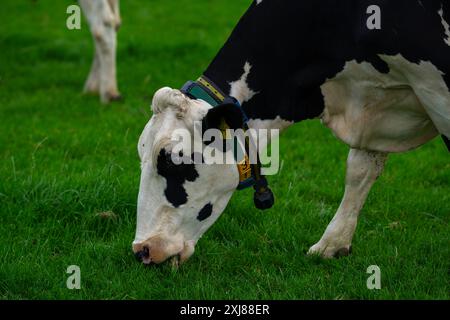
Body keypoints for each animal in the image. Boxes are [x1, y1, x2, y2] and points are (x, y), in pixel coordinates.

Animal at [134, 0, 450, 264]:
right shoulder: (372, 109)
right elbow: (360, 171)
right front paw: (333, 244)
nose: (142, 249)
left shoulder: (435, 89)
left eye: (173, 160)